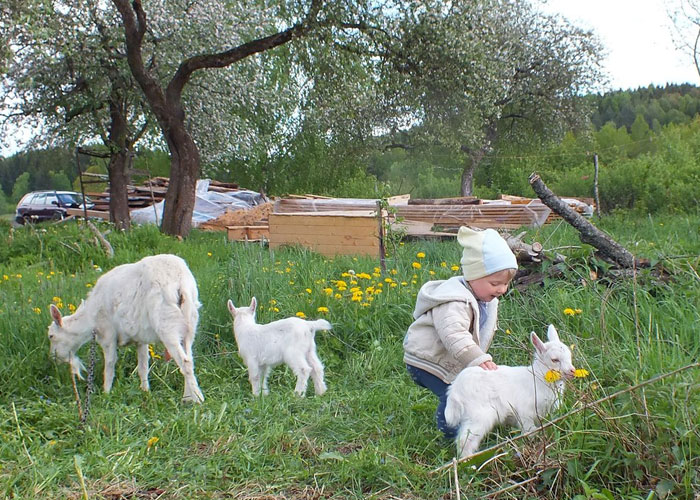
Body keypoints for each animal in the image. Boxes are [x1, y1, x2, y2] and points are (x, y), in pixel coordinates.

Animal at [47, 254, 202, 402]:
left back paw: (195, 400)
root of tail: (180, 283)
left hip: (167, 322)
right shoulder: (141, 338)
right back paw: (189, 396)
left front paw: (106, 393)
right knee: (189, 358)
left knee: (185, 362)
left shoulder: (107, 334)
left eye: (51, 336)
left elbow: (110, 364)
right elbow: (143, 366)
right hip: (189, 321)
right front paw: (145, 391)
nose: (53, 359)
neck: (90, 320)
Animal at [446, 324, 576, 458]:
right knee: (465, 440)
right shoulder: (525, 413)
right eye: (555, 360)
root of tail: (454, 391)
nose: (572, 371)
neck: (538, 379)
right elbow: (530, 431)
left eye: (569, 356)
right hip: (478, 414)